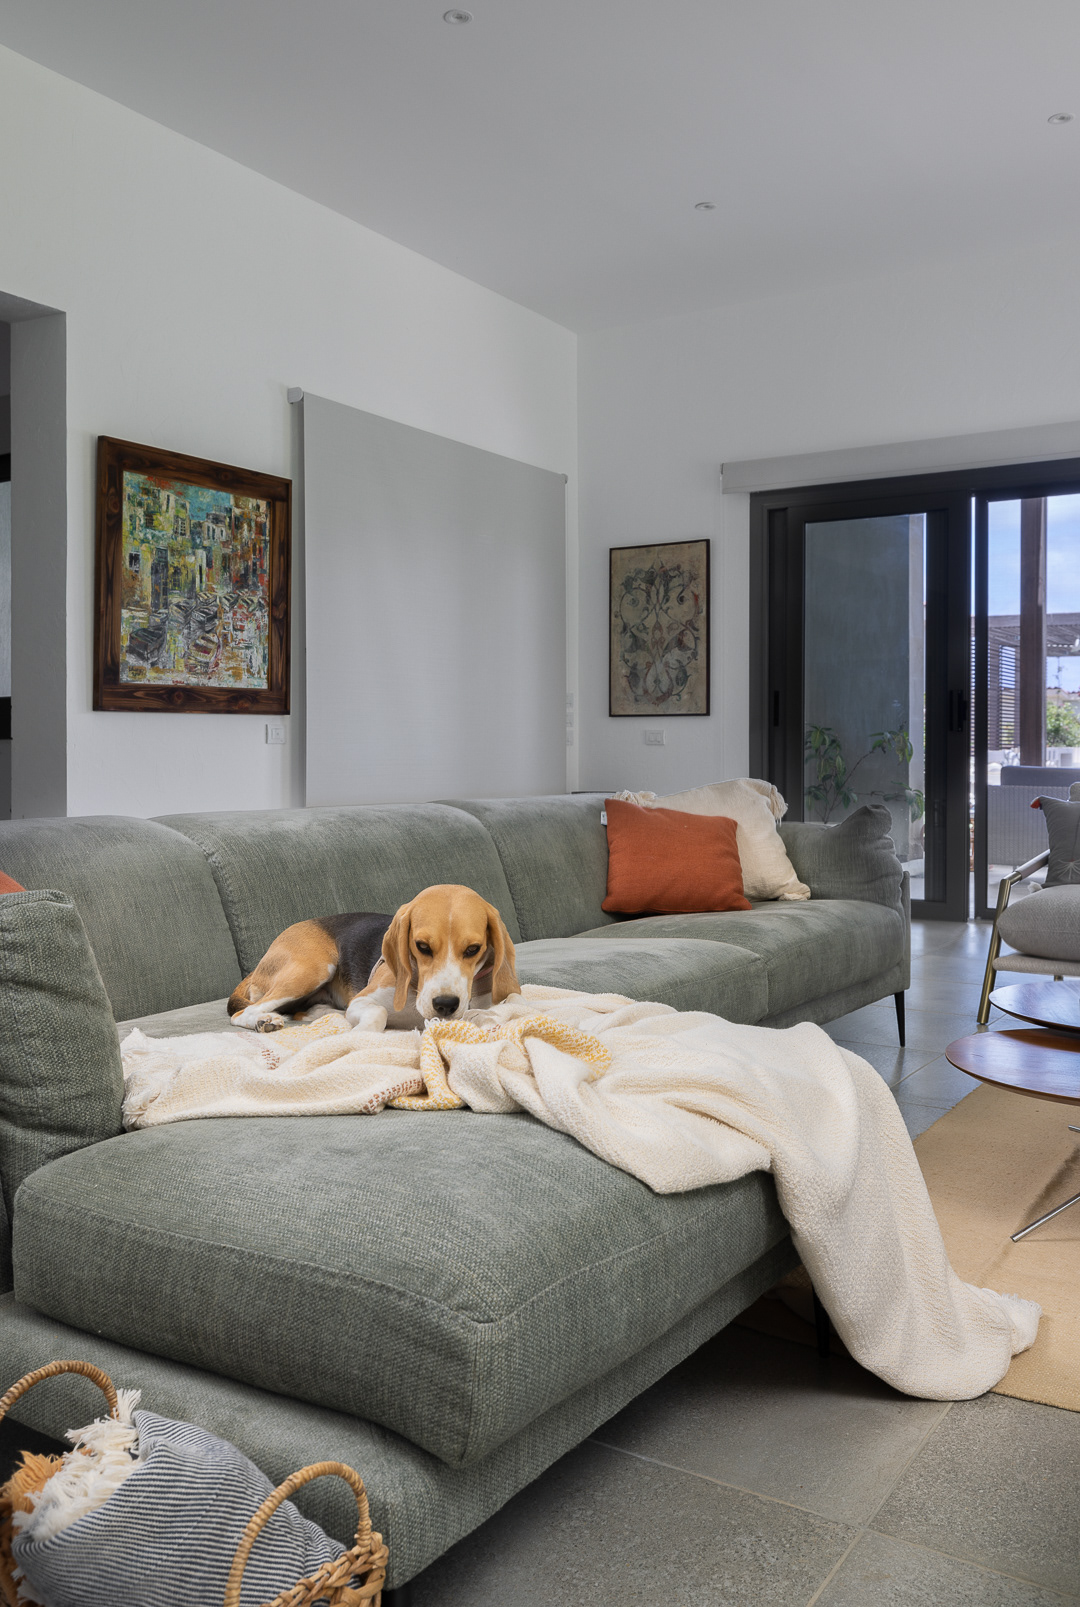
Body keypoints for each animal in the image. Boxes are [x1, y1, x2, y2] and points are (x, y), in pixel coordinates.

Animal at [228, 884, 519, 1033]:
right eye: (422, 946)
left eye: (473, 949)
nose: (445, 1005)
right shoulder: (364, 1000)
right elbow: (378, 1012)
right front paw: (361, 1037)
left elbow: (499, 1011)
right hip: (313, 968)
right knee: (244, 1011)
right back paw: (264, 1020)